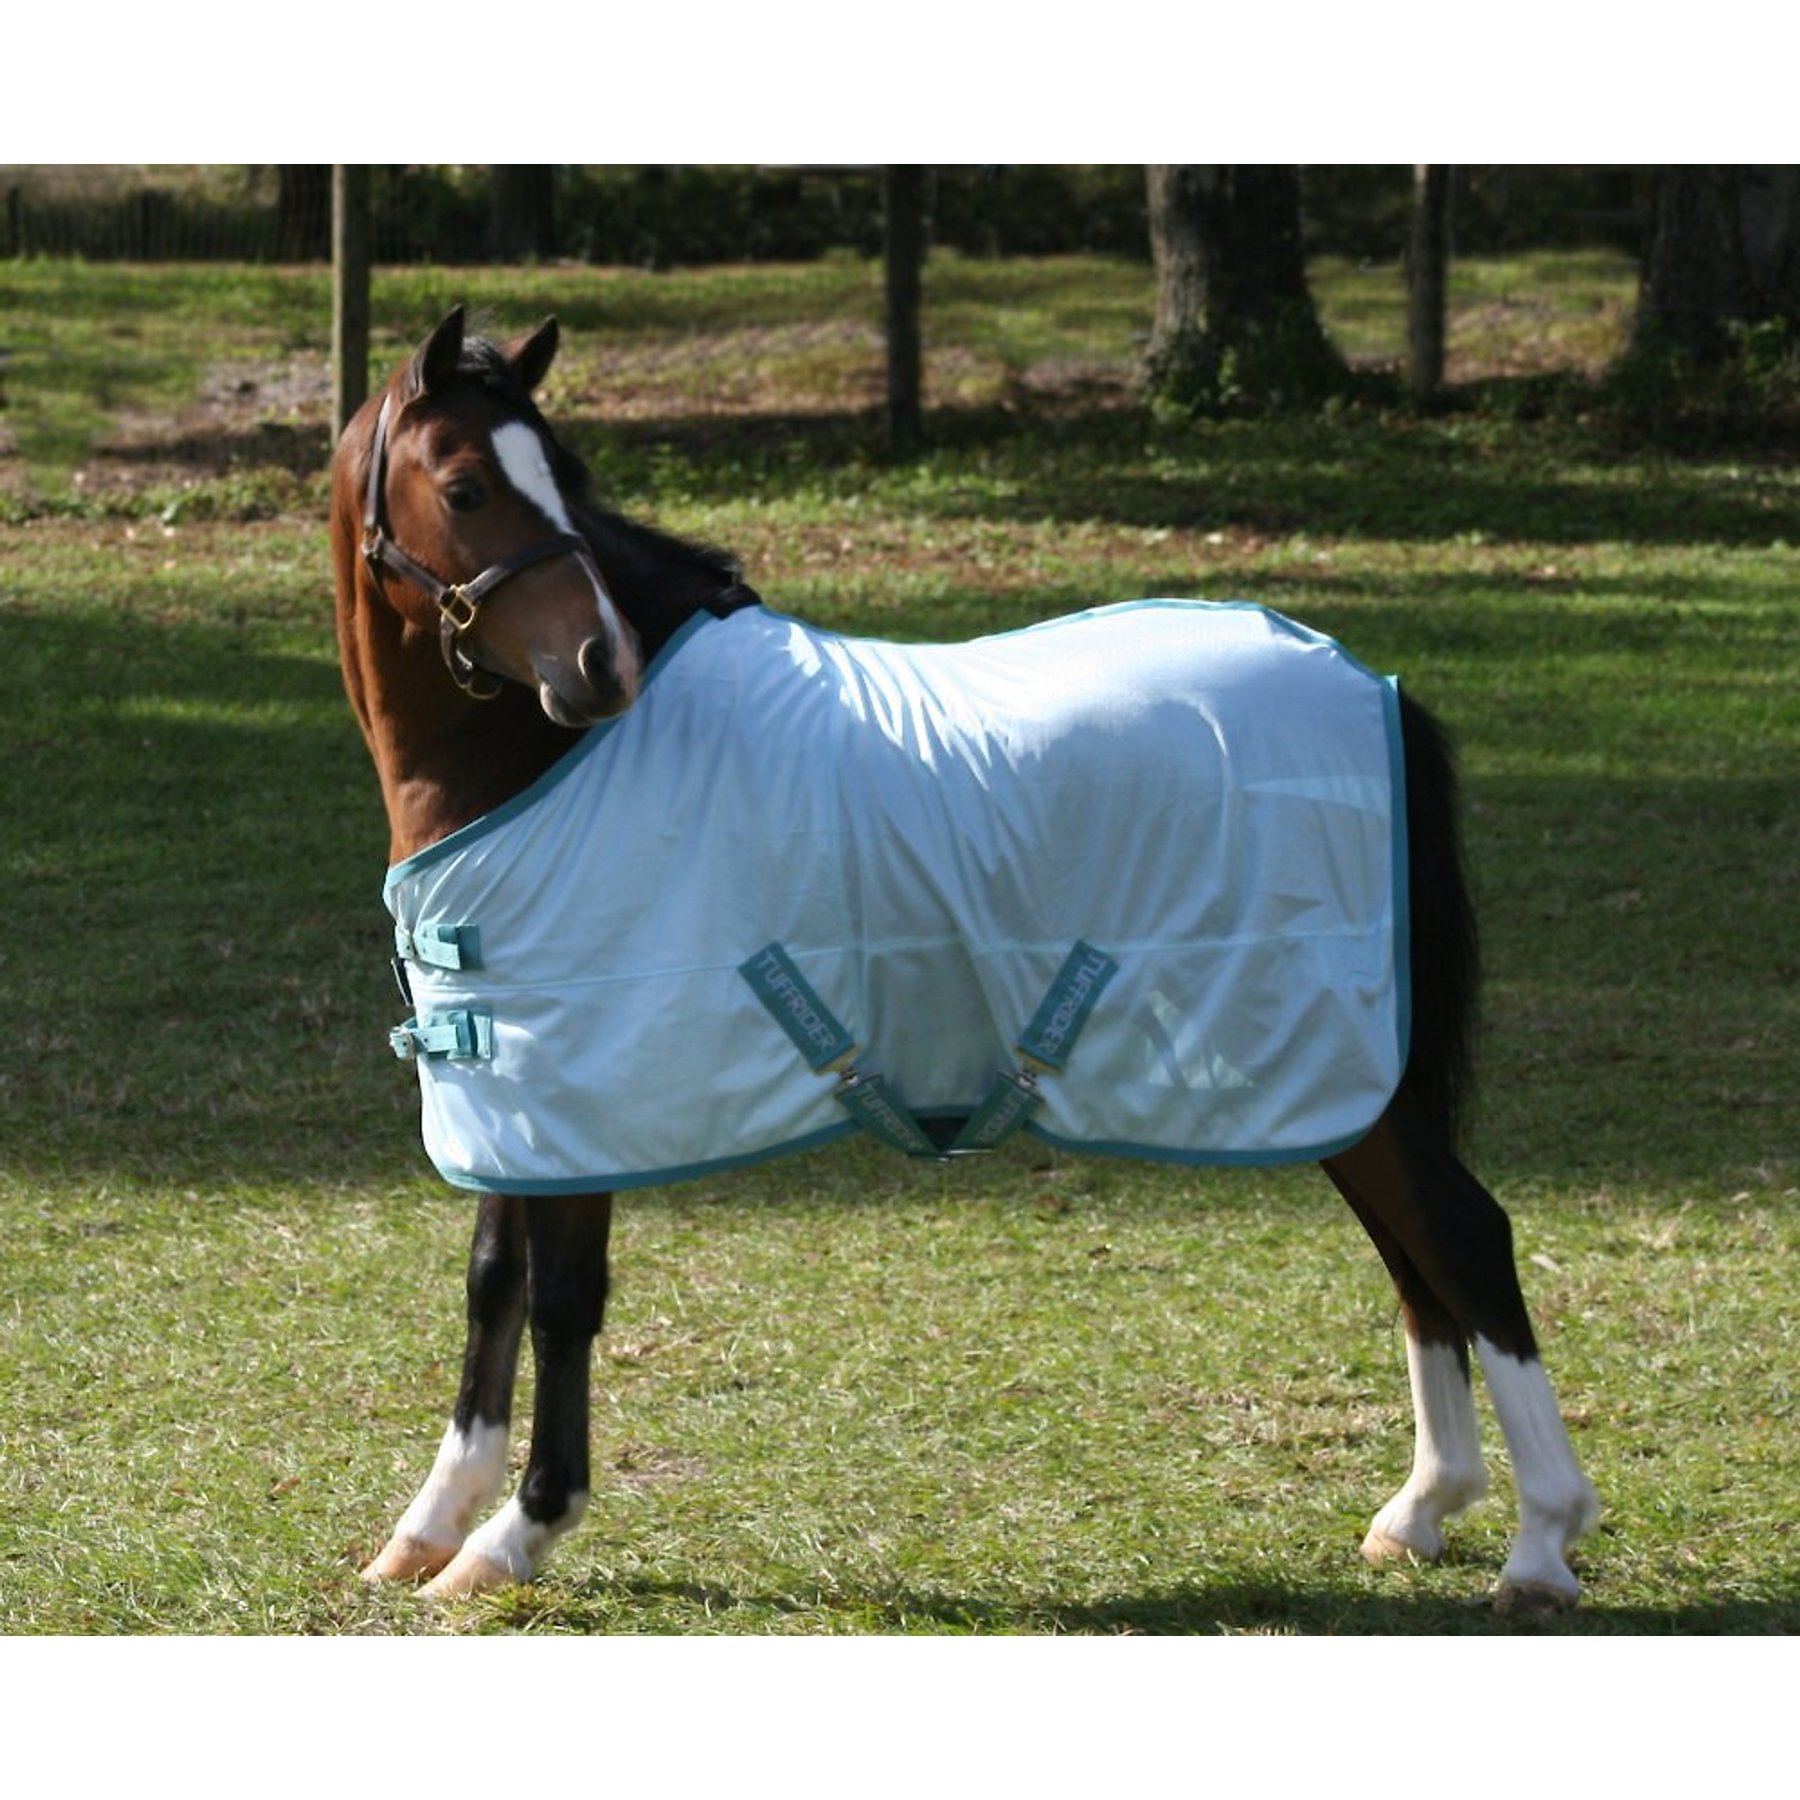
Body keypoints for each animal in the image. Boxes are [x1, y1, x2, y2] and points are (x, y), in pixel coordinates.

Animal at [329, 306, 1599, 1612]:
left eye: (566, 480)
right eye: (468, 487)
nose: (600, 668)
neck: (534, 767)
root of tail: (1372, 685)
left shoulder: (579, 1096)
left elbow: (562, 1303)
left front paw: (516, 1534)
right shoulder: (512, 1088)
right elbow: (494, 1281)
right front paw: (429, 1526)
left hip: (1341, 1066)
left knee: (1463, 1240)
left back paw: (1541, 1547)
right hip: (1337, 1080)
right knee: (1416, 1259)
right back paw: (1424, 1509)